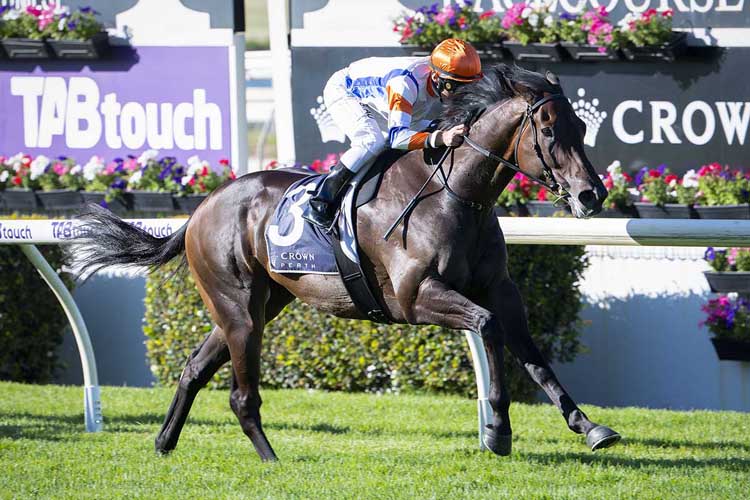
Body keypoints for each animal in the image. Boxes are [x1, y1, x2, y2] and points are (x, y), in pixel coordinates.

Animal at [73, 65, 620, 460]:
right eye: (547, 130)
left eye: (580, 125)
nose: (591, 195)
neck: (455, 196)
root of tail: (203, 206)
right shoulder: (415, 298)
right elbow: (486, 328)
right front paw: (497, 431)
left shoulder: (501, 290)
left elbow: (533, 354)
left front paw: (590, 426)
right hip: (239, 307)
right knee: (240, 395)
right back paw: (271, 459)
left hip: (259, 304)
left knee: (194, 368)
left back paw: (164, 442)